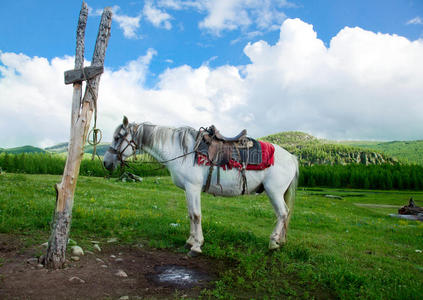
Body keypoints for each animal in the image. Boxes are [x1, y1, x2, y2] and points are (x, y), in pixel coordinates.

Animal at [104, 116, 300, 255]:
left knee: (283, 213)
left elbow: (196, 215)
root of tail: (291, 157)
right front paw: (190, 241)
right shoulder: (189, 190)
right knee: (285, 215)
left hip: (274, 192)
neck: (181, 151)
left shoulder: (193, 187)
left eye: (117, 137)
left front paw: (196, 246)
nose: (106, 163)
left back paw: (273, 243)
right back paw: (280, 241)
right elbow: (191, 215)